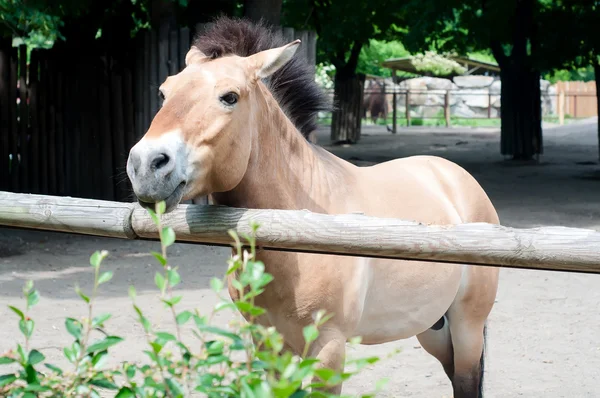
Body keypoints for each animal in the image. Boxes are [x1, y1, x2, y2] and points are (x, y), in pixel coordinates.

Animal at [127, 17, 502, 398]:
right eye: (164, 92)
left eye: (229, 96)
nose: (146, 165)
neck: (298, 235)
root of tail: (455, 178)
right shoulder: (268, 346)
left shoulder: (329, 349)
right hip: (432, 328)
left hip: (466, 328)